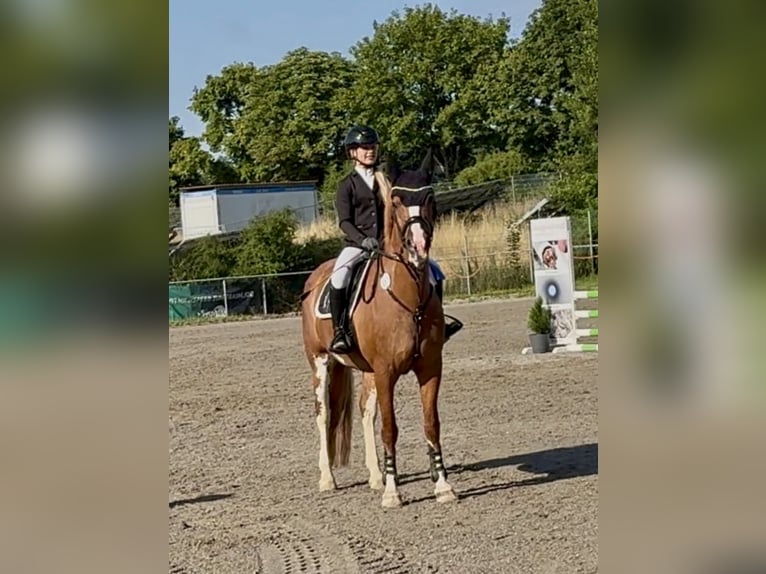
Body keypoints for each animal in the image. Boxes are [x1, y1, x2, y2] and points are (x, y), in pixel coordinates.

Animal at [299, 151, 457, 508]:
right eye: (397, 200)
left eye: (429, 198)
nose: (418, 246)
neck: (407, 298)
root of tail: (316, 276)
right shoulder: (386, 371)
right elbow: (390, 428)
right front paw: (392, 492)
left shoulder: (430, 368)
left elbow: (431, 424)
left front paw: (442, 485)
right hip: (320, 361)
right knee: (322, 414)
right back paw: (328, 479)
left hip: (367, 369)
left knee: (364, 411)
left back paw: (374, 475)